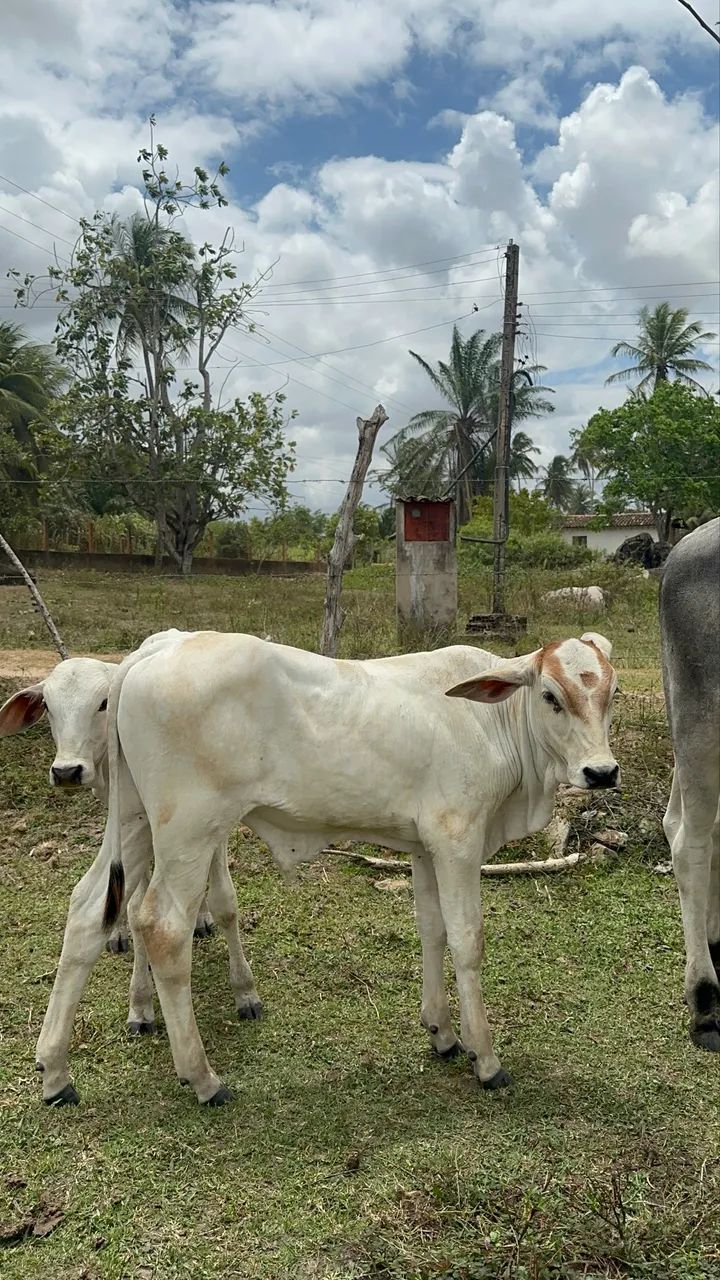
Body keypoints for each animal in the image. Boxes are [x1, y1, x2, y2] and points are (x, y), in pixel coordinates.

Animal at [0, 634, 263, 1031]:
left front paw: (245, 992)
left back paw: (198, 918)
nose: (66, 771)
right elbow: (137, 909)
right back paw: (120, 932)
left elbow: (225, 904)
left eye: (103, 702)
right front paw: (140, 1003)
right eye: (47, 705)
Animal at [31, 628, 619, 1108]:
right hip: (187, 832)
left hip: (132, 819)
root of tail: (154, 651)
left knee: (88, 910)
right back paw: (202, 1078)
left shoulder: (424, 846)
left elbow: (431, 931)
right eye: (550, 697)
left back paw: (56, 1071)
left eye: (609, 695)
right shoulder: (458, 840)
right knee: (161, 925)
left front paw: (442, 1033)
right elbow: (466, 940)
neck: (489, 720)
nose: (601, 771)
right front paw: (487, 1059)